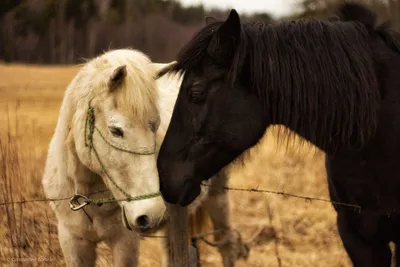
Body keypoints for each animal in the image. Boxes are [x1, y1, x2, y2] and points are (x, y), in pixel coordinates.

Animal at [40, 48, 247, 267]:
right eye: (116, 130)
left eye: (155, 126)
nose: (150, 213)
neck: (90, 197)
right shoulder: (73, 242)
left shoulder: (125, 242)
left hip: (217, 197)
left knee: (226, 244)